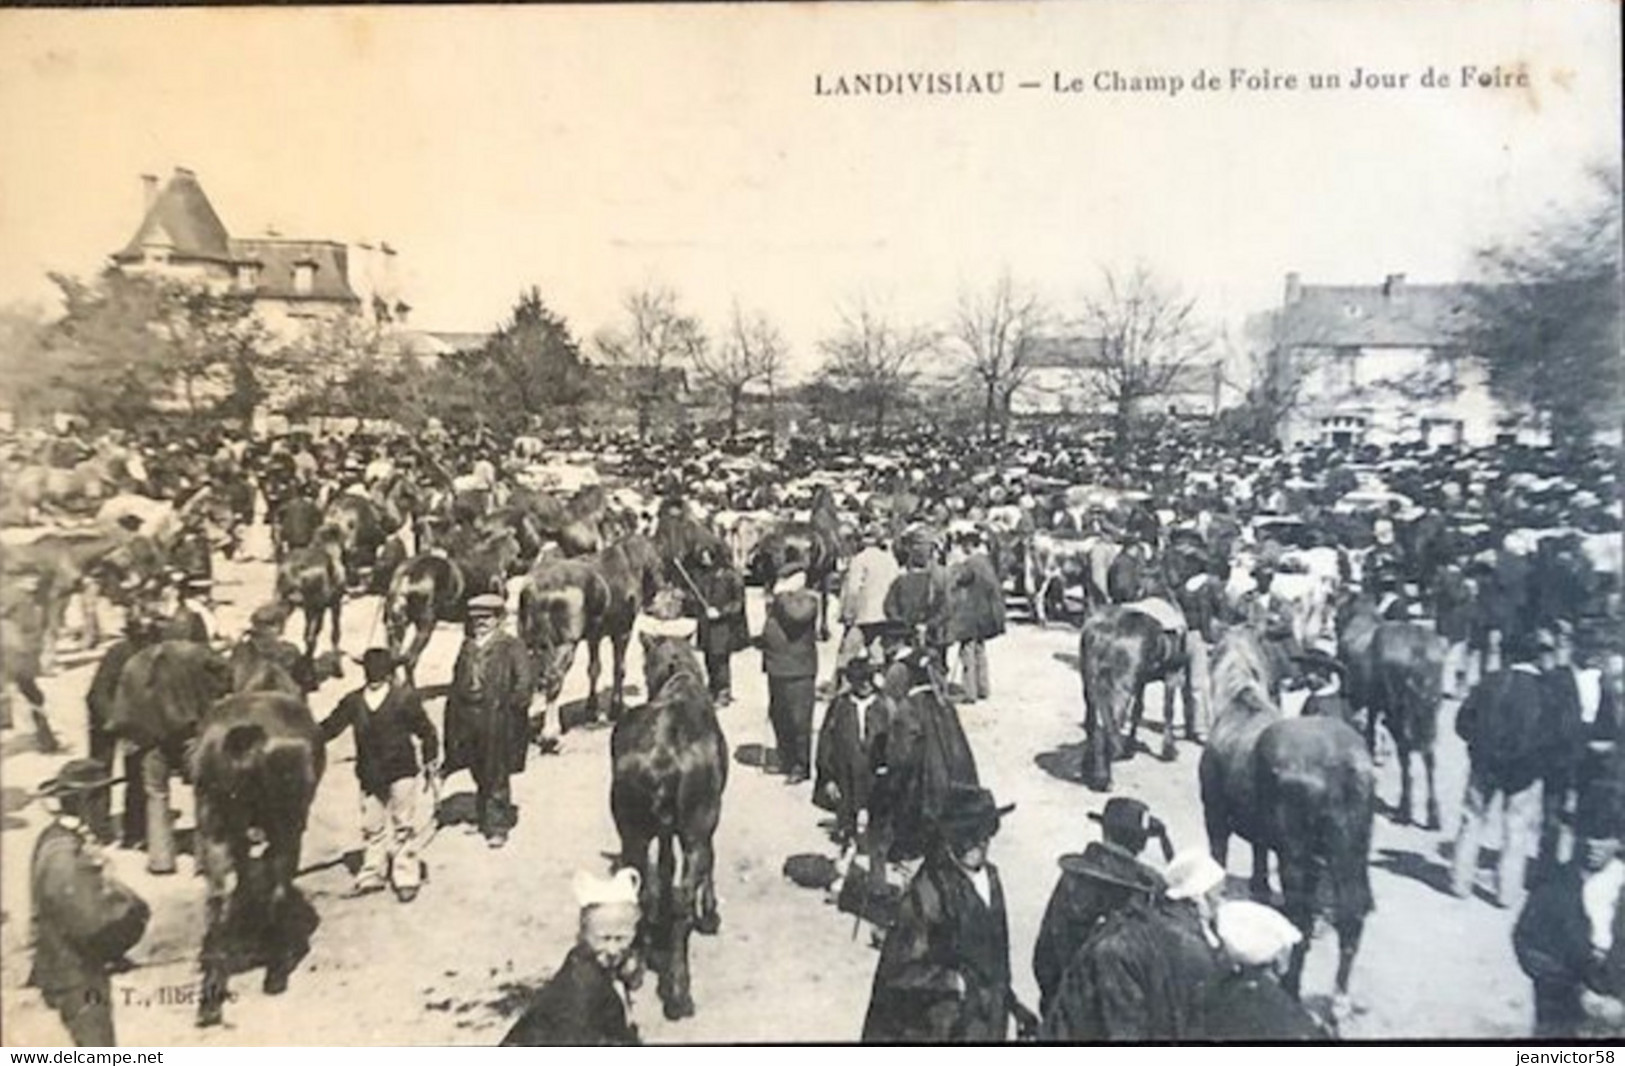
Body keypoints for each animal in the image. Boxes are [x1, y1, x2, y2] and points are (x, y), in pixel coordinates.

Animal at [611, 637, 728, 1020]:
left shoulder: (661, 832)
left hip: (631, 833)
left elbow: (663, 867)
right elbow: (707, 863)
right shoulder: (706, 825)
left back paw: (635, 965)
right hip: (695, 832)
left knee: (640, 890)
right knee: (683, 899)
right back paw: (679, 992)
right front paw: (711, 913)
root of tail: (662, 755)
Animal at [750, 487, 845, 637]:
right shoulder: (825, 572)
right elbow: (824, 600)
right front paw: (825, 631)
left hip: (770, 576)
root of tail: (763, 544)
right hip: (779, 574)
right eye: (833, 499)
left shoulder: (812, 574)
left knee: (768, 600)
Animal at [1079, 598, 1196, 789]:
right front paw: (1169, 750)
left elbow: (1138, 710)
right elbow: (1168, 710)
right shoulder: (1172, 675)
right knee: (1110, 728)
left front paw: (1130, 746)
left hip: (1089, 686)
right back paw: (1104, 778)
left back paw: (1088, 770)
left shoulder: (1141, 681)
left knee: (1092, 725)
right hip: (1119, 690)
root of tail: (1099, 634)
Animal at [1196, 627, 1371, 1014]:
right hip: (1349, 853)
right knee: (1352, 915)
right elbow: (1260, 864)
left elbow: (1218, 864)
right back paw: (1338, 1002)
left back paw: (1291, 983)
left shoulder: (1214, 817)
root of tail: (1345, 764)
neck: (1240, 699)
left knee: (1301, 916)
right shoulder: (1273, 840)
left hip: (1297, 856)